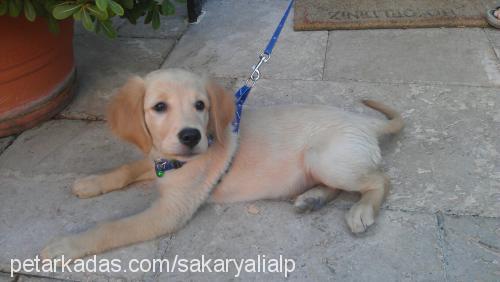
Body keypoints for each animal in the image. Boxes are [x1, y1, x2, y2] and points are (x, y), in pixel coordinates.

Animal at [41, 68, 404, 260]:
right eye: (159, 107)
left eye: (200, 105)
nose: (191, 136)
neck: (175, 163)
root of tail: (365, 122)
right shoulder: (160, 158)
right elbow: (128, 168)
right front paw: (92, 182)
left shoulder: (171, 210)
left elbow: (112, 228)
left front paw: (65, 245)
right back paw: (311, 198)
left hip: (324, 157)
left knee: (380, 180)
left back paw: (361, 211)